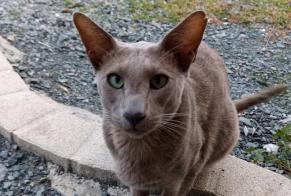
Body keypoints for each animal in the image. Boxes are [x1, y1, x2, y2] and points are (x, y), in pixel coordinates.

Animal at [73, 11, 288, 196]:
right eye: (116, 80)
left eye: (159, 81)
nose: (133, 114)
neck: (140, 151)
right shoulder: (136, 184)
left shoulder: (185, 173)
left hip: (226, 131)